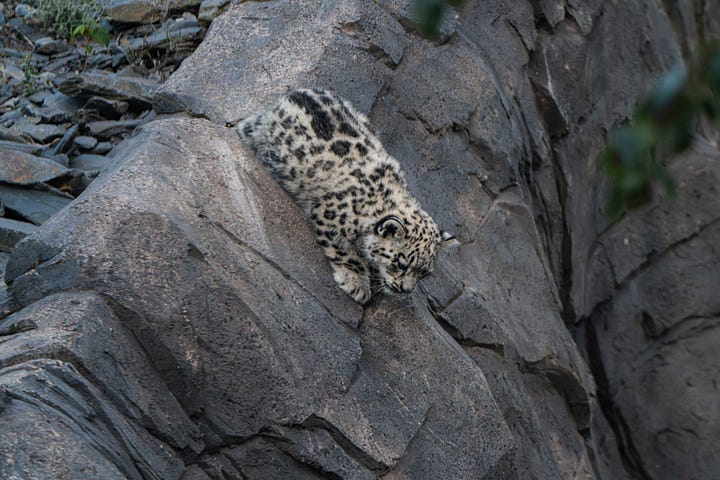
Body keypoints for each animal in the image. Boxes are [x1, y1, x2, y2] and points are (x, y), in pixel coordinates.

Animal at [237, 88, 452, 304]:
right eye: (401, 263)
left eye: (424, 273)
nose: (405, 290)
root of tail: (296, 92)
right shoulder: (328, 215)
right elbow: (344, 252)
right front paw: (356, 282)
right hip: (260, 133)